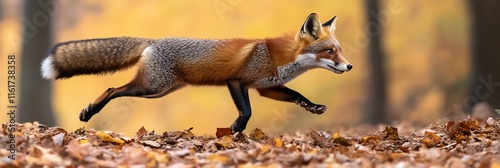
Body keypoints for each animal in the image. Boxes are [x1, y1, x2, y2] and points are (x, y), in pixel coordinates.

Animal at [41, 13, 352, 133]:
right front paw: (235, 130)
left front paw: (313, 107)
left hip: (160, 90)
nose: (349, 66)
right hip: (152, 88)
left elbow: (297, 94)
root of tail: (153, 41)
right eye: (330, 52)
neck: (279, 58)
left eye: (339, 50)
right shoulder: (236, 81)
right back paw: (88, 112)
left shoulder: (266, 87)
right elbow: (247, 111)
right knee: (111, 90)